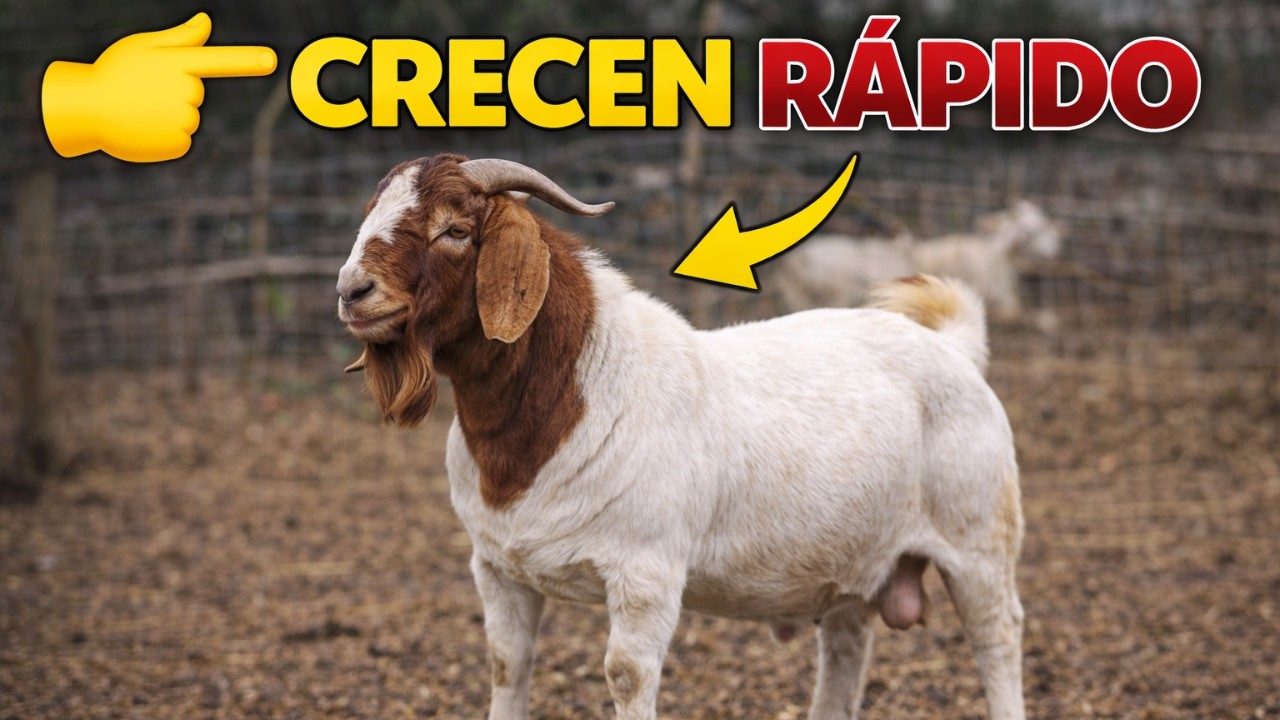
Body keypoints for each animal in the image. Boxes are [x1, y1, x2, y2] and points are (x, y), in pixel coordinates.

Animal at [337, 154, 1026, 720]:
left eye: (455, 229)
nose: (351, 291)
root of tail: (953, 346)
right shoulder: (497, 567)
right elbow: (507, 665)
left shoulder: (646, 573)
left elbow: (626, 675)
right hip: (857, 556)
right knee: (847, 647)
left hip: (978, 539)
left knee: (998, 636)